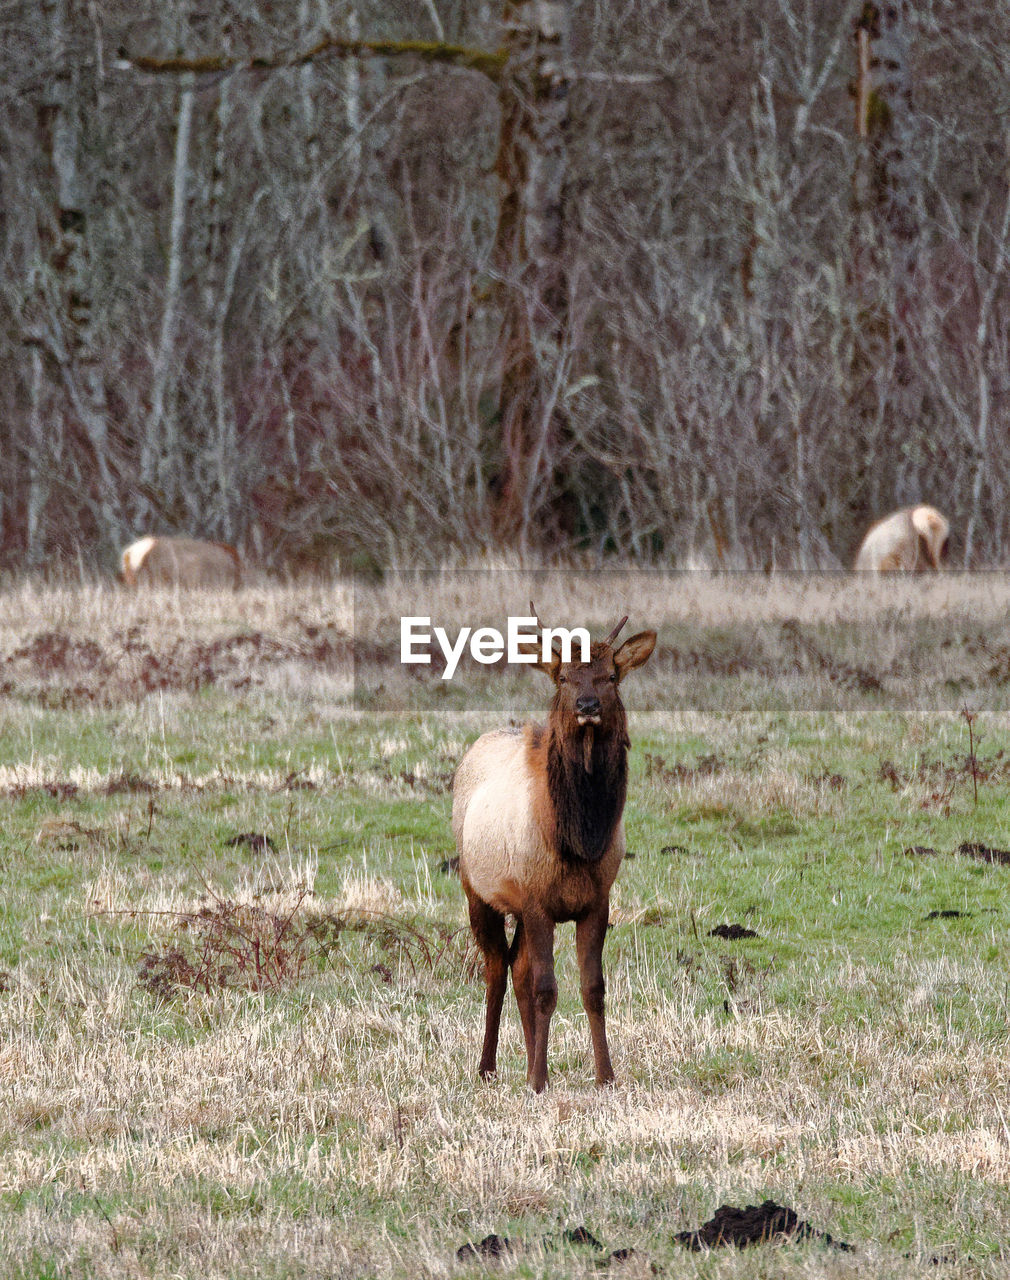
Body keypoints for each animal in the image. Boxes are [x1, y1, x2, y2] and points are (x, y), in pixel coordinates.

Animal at [453, 606, 660, 1090]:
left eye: (611, 676)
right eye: (563, 677)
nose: (588, 706)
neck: (579, 838)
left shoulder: (597, 901)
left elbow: (593, 989)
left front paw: (605, 1075)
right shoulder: (536, 900)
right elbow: (546, 989)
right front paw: (538, 1081)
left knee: (518, 968)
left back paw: (529, 1057)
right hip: (478, 893)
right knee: (497, 969)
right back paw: (488, 1066)